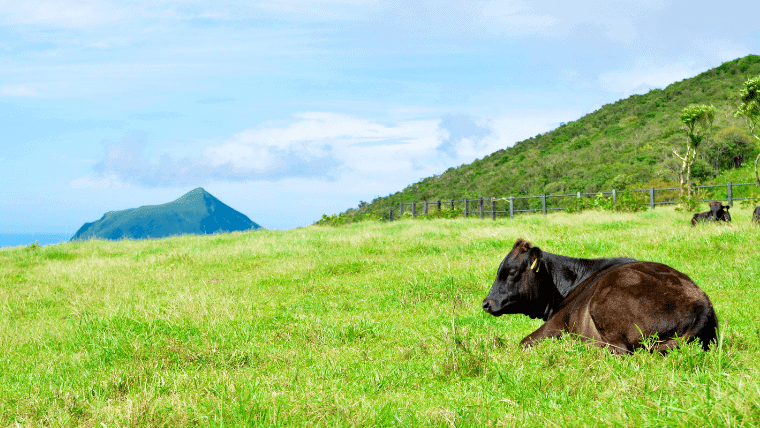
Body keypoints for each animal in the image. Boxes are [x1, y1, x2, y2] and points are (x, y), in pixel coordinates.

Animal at [480, 237, 720, 354]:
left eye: (511, 272)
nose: (486, 303)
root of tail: (701, 302)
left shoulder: (557, 323)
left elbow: (523, 342)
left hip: (605, 304)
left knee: (618, 351)